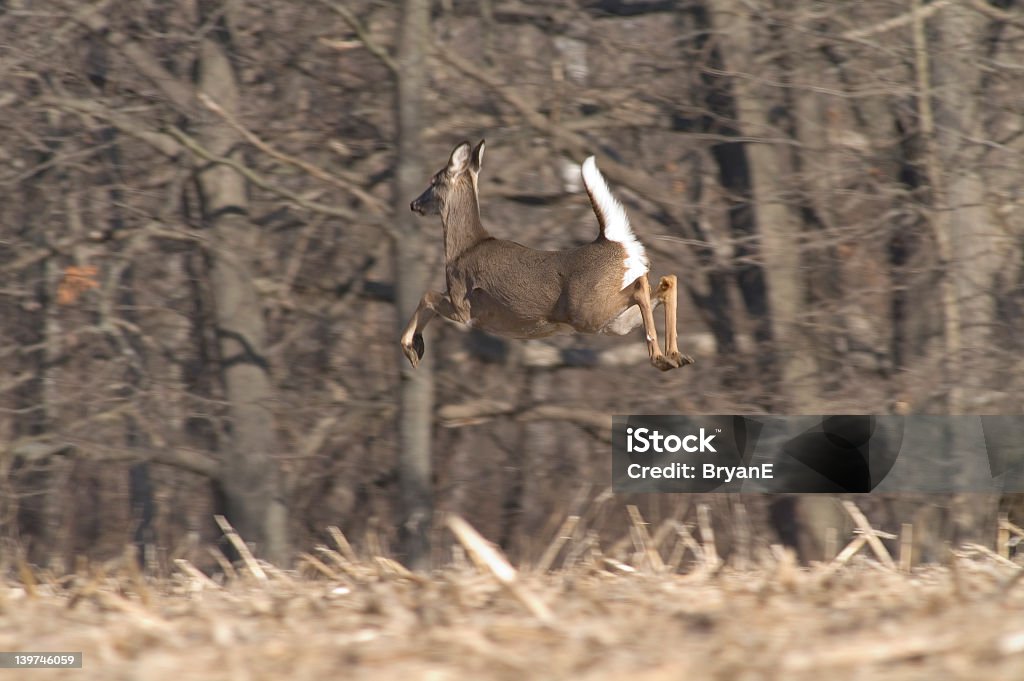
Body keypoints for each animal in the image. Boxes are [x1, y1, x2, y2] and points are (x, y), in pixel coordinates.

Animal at [399, 139, 696, 372]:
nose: (413, 204)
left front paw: (411, 349)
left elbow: (428, 295)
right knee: (666, 280)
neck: (464, 248)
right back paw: (676, 357)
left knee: (642, 286)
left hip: (588, 310)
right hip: (613, 322)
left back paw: (661, 358)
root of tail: (613, 241)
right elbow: (428, 297)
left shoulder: (465, 306)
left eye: (433, 181)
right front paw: (417, 347)